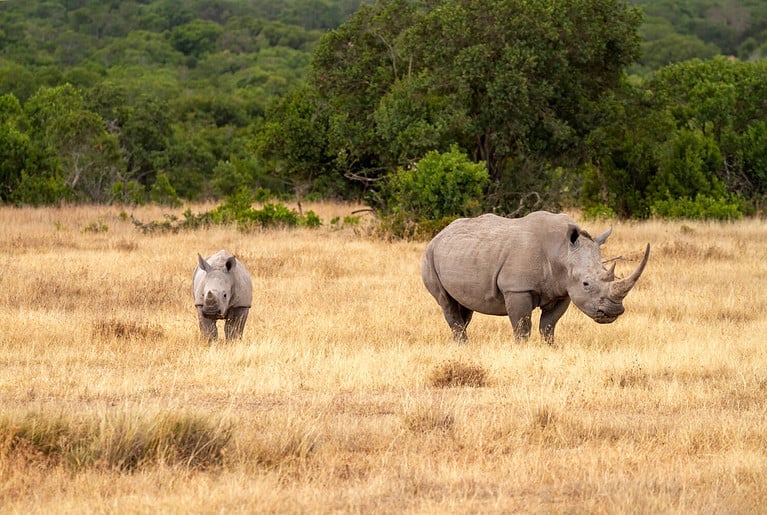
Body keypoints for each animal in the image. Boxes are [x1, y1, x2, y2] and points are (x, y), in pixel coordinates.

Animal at [421, 211, 650, 344]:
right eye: (586, 283)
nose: (613, 311)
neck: (562, 252)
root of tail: (440, 233)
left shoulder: (563, 290)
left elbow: (549, 324)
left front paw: (550, 346)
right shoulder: (517, 288)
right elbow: (522, 326)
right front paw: (522, 349)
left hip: (461, 253)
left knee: (464, 306)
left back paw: (460, 345)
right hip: (429, 255)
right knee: (446, 302)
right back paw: (462, 343)